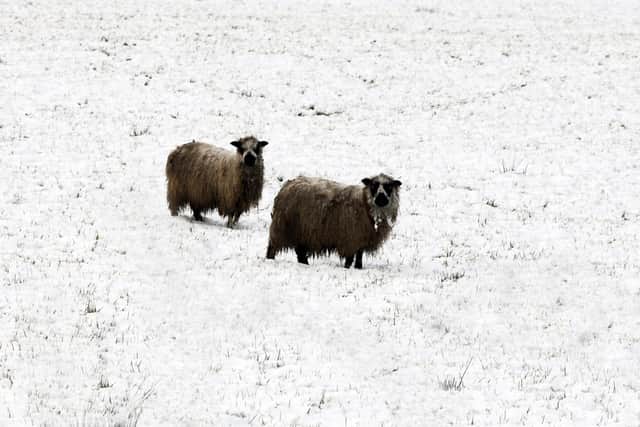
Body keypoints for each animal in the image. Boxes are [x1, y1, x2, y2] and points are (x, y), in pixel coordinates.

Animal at [266, 173, 402, 269]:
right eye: (373, 185)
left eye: (389, 187)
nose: (381, 198)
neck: (365, 204)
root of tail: (287, 185)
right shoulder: (350, 239)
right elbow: (350, 259)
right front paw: (347, 268)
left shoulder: (361, 238)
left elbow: (359, 257)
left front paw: (358, 268)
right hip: (283, 228)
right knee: (272, 247)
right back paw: (269, 260)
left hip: (302, 231)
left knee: (300, 253)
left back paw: (305, 264)